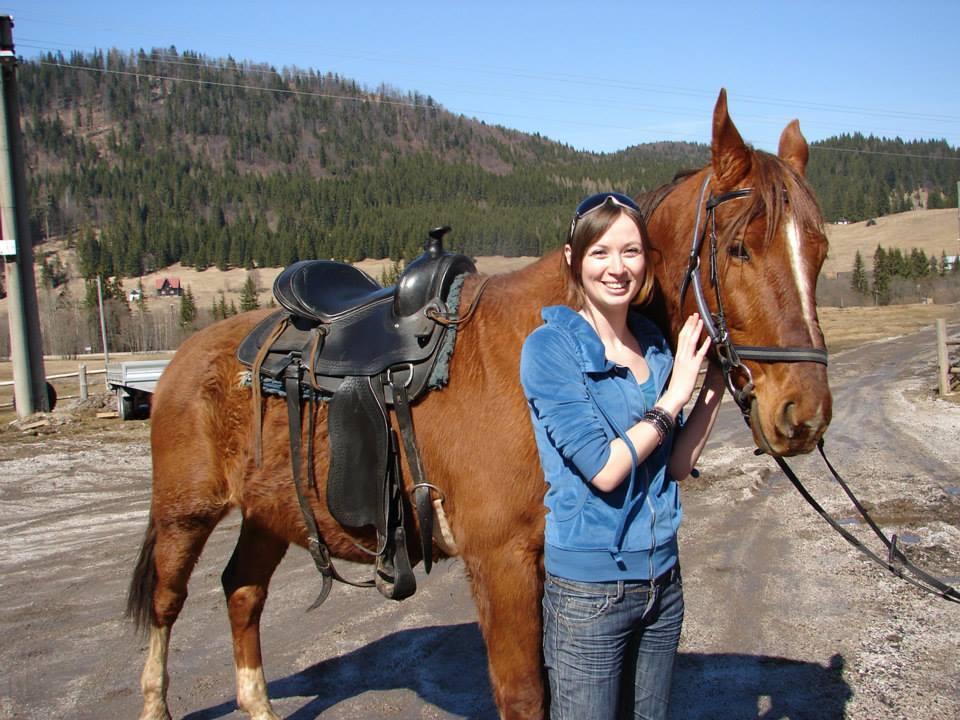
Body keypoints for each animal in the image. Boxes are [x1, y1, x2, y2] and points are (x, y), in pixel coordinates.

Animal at [127, 91, 832, 720]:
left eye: (820, 251)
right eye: (739, 247)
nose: (805, 415)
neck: (534, 344)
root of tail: (185, 358)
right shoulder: (501, 561)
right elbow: (523, 695)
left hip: (269, 512)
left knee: (242, 592)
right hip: (185, 512)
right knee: (167, 601)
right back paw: (156, 704)